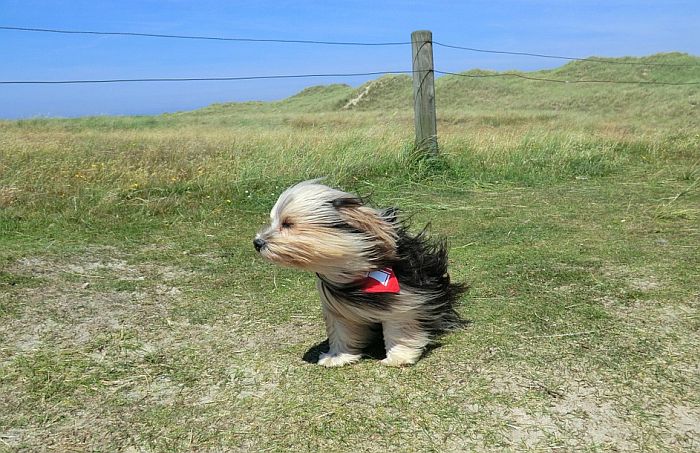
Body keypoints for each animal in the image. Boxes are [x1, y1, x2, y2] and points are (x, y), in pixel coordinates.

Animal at [253, 178, 464, 366]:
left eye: (288, 223)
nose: (257, 243)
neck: (355, 270)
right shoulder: (337, 308)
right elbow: (341, 330)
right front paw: (338, 356)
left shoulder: (406, 298)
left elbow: (400, 326)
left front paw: (399, 357)